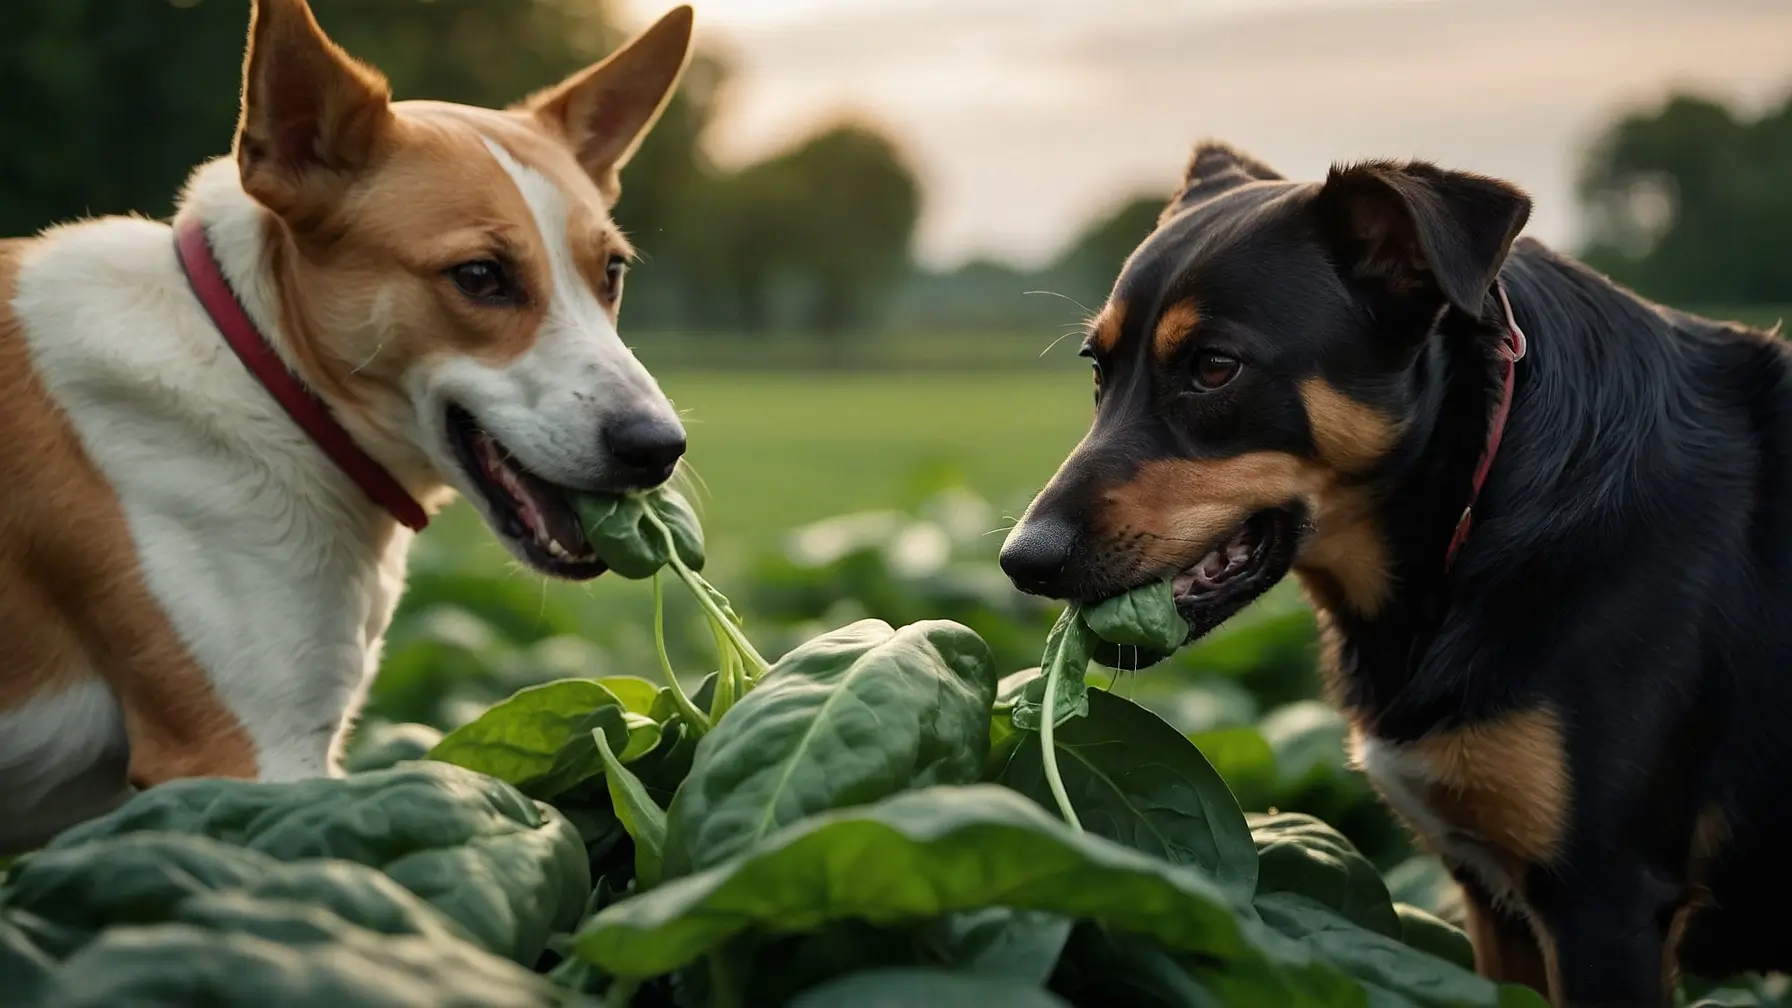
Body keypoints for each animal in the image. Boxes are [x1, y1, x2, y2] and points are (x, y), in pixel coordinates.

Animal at [1003, 143, 1792, 1004]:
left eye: (1214, 368)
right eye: (1098, 367)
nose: (1021, 560)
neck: (1471, 510)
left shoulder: (1604, 904)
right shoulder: (1498, 903)